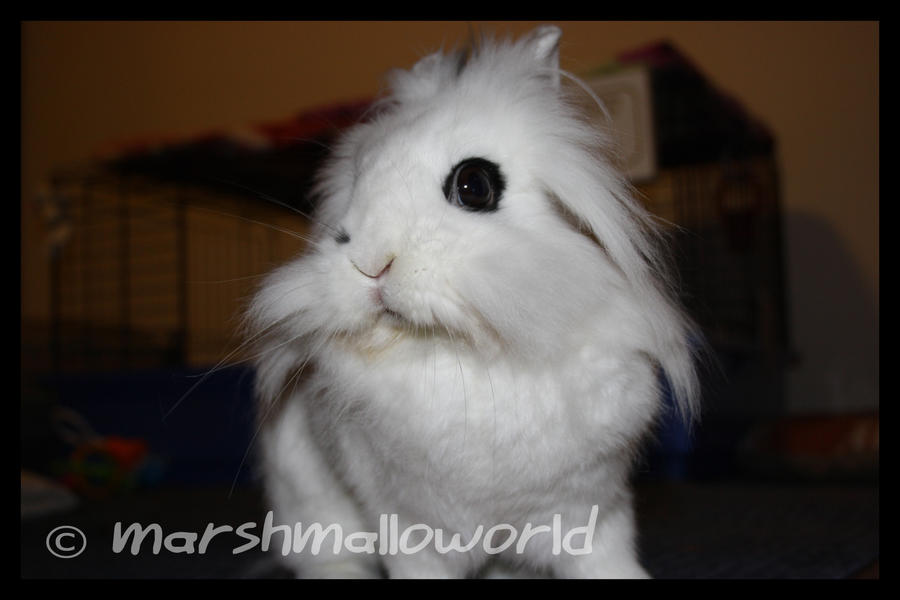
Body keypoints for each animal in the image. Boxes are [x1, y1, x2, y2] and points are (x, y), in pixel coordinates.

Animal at [246, 25, 700, 579]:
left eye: (474, 184)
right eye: (355, 185)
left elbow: (607, 560)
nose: (371, 264)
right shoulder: (410, 528)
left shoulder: (593, 510)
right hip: (307, 508)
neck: (467, 355)